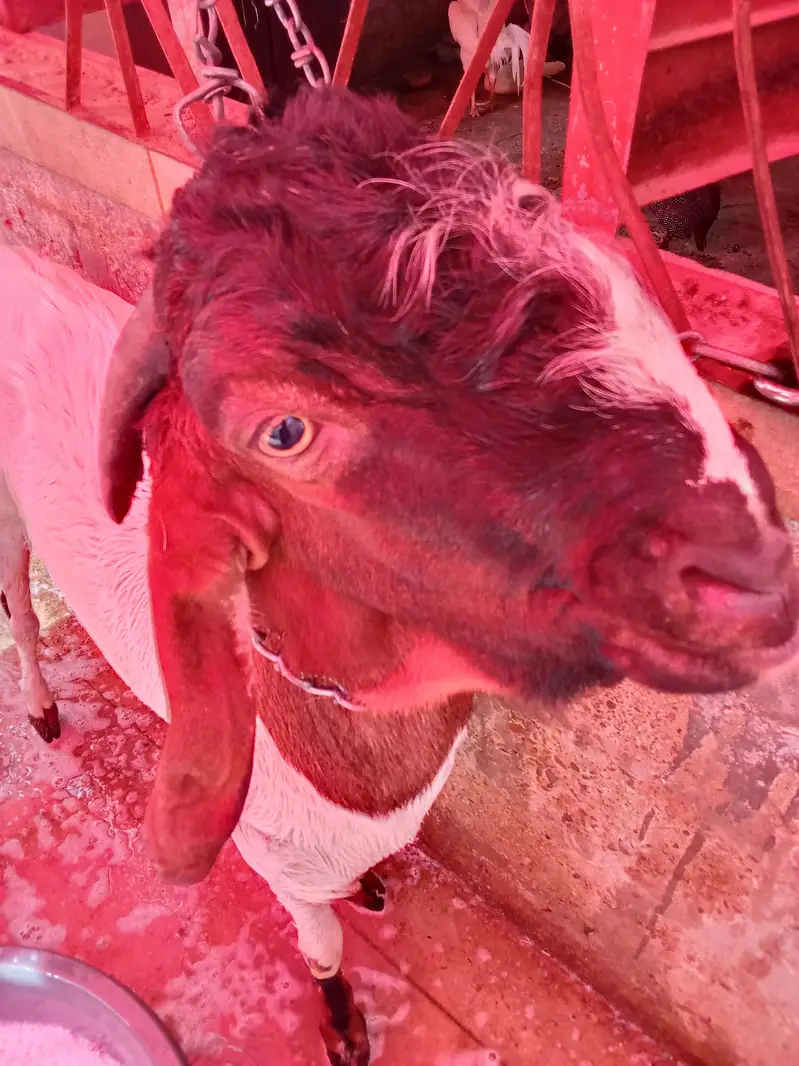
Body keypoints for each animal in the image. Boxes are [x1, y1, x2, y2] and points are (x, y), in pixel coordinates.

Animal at [0, 88, 797, 1066]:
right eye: (284, 432)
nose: (746, 558)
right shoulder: (281, 866)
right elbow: (324, 946)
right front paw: (343, 1028)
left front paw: (374, 884)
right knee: (19, 608)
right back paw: (42, 709)